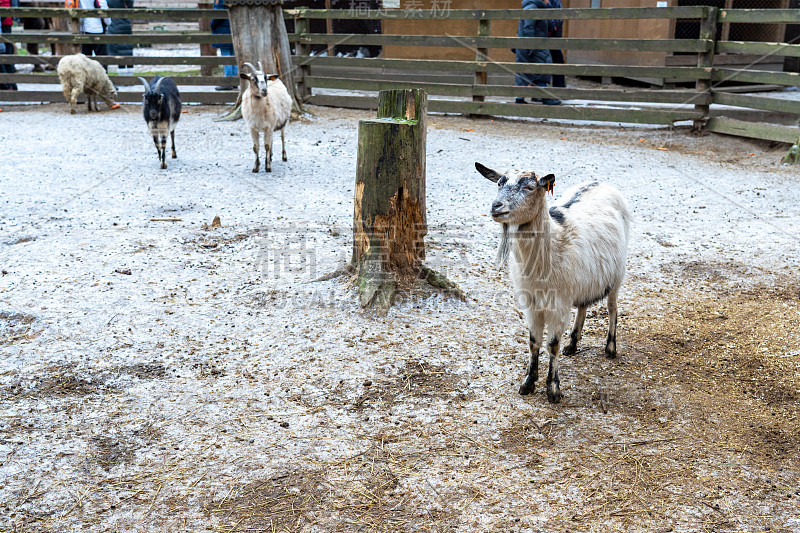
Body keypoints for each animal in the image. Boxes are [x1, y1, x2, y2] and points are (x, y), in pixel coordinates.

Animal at [476, 162, 632, 404]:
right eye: (499, 183)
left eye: (530, 187)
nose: (496, 206)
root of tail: (600, 183)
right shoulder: (531, 303)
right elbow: (533, 342)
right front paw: (528, 382)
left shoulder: (558, 303)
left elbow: (552, 344)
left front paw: (553, 389)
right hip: (582, 280)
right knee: (583, 305)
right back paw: (573, 344)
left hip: (617, 275)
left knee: (612, 308)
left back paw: (610, 348)